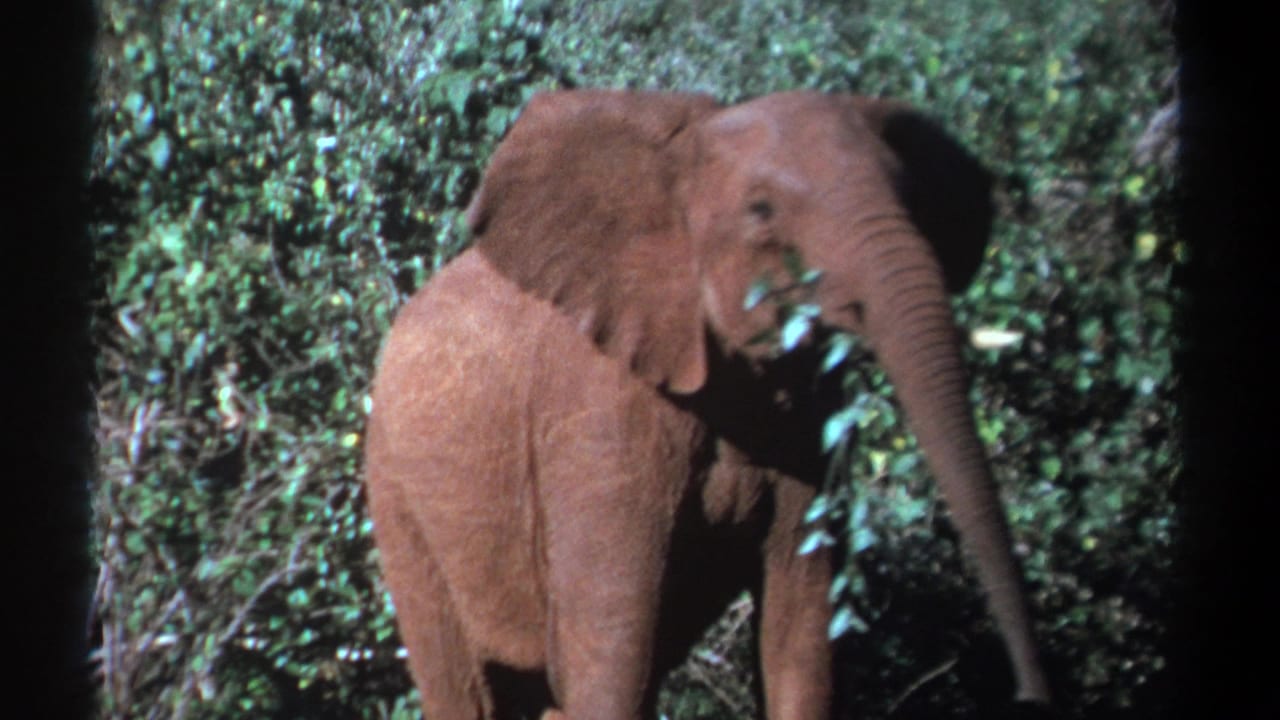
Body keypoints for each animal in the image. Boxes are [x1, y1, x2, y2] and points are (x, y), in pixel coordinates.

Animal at [363, 89, 1051, 719]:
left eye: (911, 199)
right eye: (762, 210)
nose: (1028, 694)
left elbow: (801, 628)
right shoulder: (600, 408)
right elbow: (614, 649)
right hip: (397, 495)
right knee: (463, 683)